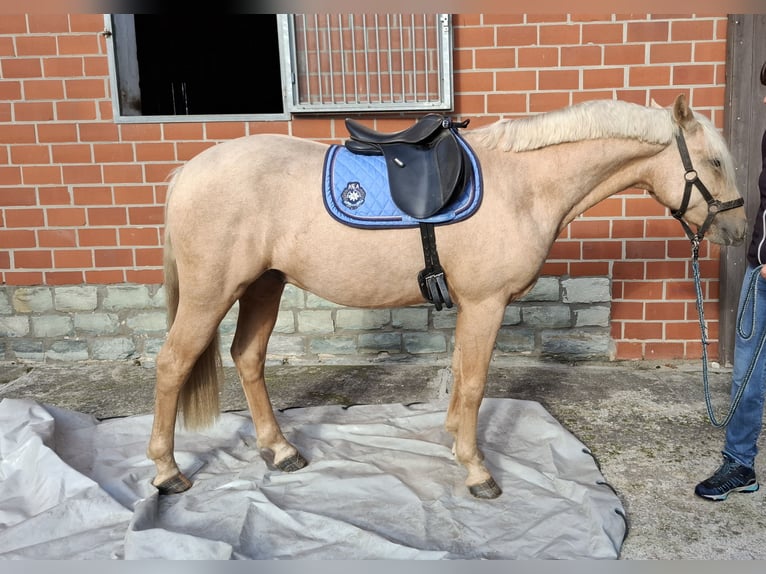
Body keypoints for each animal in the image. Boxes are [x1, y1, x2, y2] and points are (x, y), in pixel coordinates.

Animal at [147, 94, 748, 500]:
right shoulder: (486, 303)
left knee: (248, 358)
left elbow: (461, 375)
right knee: (173, 364)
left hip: (265, 286)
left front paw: (454, 440)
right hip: (211, 293)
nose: (740, 231)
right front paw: (478, 470)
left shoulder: (473, 305)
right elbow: (476, 381)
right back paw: (167, 471)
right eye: (716, 162)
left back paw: (280, 451)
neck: (523, 184)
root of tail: (187, 172)